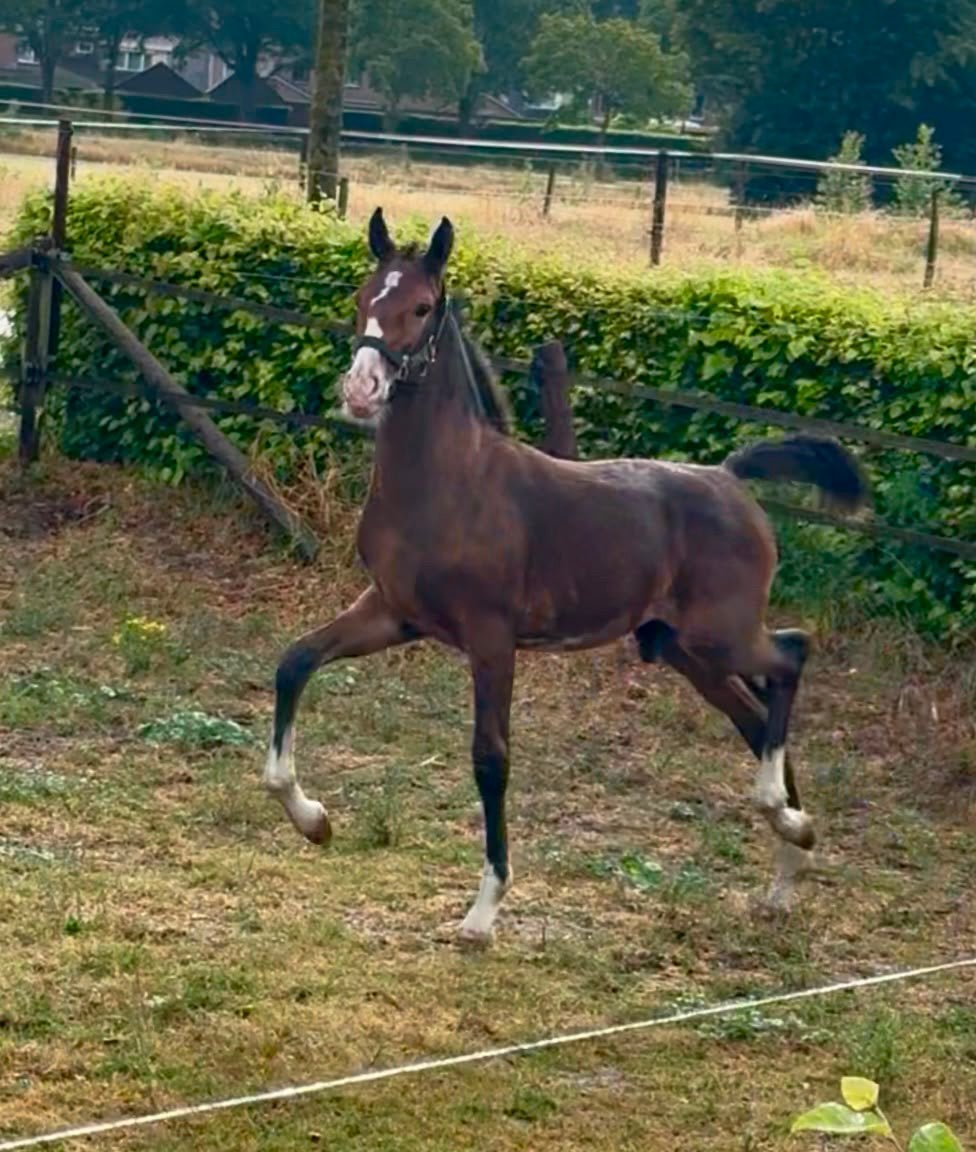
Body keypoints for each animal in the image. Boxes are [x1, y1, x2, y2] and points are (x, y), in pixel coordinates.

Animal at [264, 207, 869, 944]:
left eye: (423, 306)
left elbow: (490, 757)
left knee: (790, 657)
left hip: (718, 633)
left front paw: (483, 911)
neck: (451, 483)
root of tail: (730, 478)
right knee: (757, 717)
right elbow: (295, 663)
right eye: (362, 297)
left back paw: (781, 810)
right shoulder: (392, 611)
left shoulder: (491, 637)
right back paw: (789, 860)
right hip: (681, 648)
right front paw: (311, 819)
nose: (361, 390)